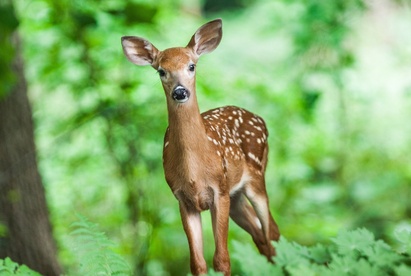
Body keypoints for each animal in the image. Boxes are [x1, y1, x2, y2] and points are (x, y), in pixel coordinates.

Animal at [120, 18, 282, 274]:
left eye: (192, 66)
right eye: (161, 71)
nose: (180, 92)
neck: (194, 172)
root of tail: (260, 119)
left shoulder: (219, 191)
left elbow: (222, 259)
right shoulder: (183, 199)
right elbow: (197, 263)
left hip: (255, 177)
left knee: (272, 232)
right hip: (236, 196)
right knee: (260, 236)